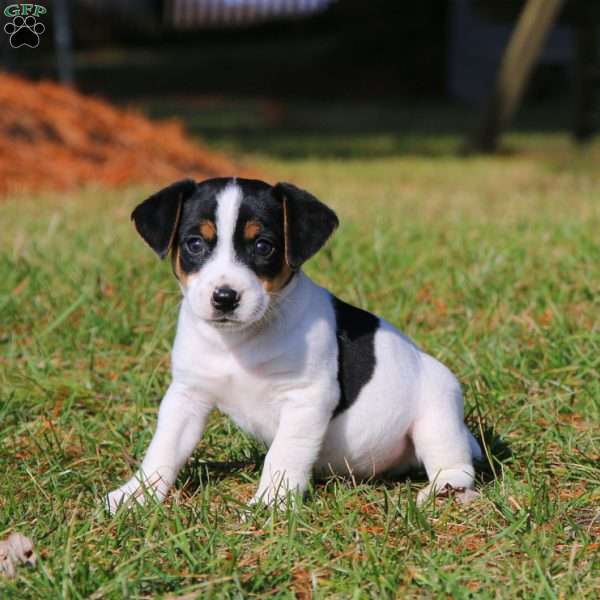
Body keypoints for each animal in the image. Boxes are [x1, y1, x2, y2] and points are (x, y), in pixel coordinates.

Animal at [106, 176, 482, 512]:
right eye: (195, 244)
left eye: (263, 246)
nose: (225, 298)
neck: (239, 341)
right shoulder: (187, 395)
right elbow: (164, 448)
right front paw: (136, 494)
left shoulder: (307, 398)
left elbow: (283, 454)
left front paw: (270, 503)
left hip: (437, 413)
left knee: (456, 465)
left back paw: (443, 492)